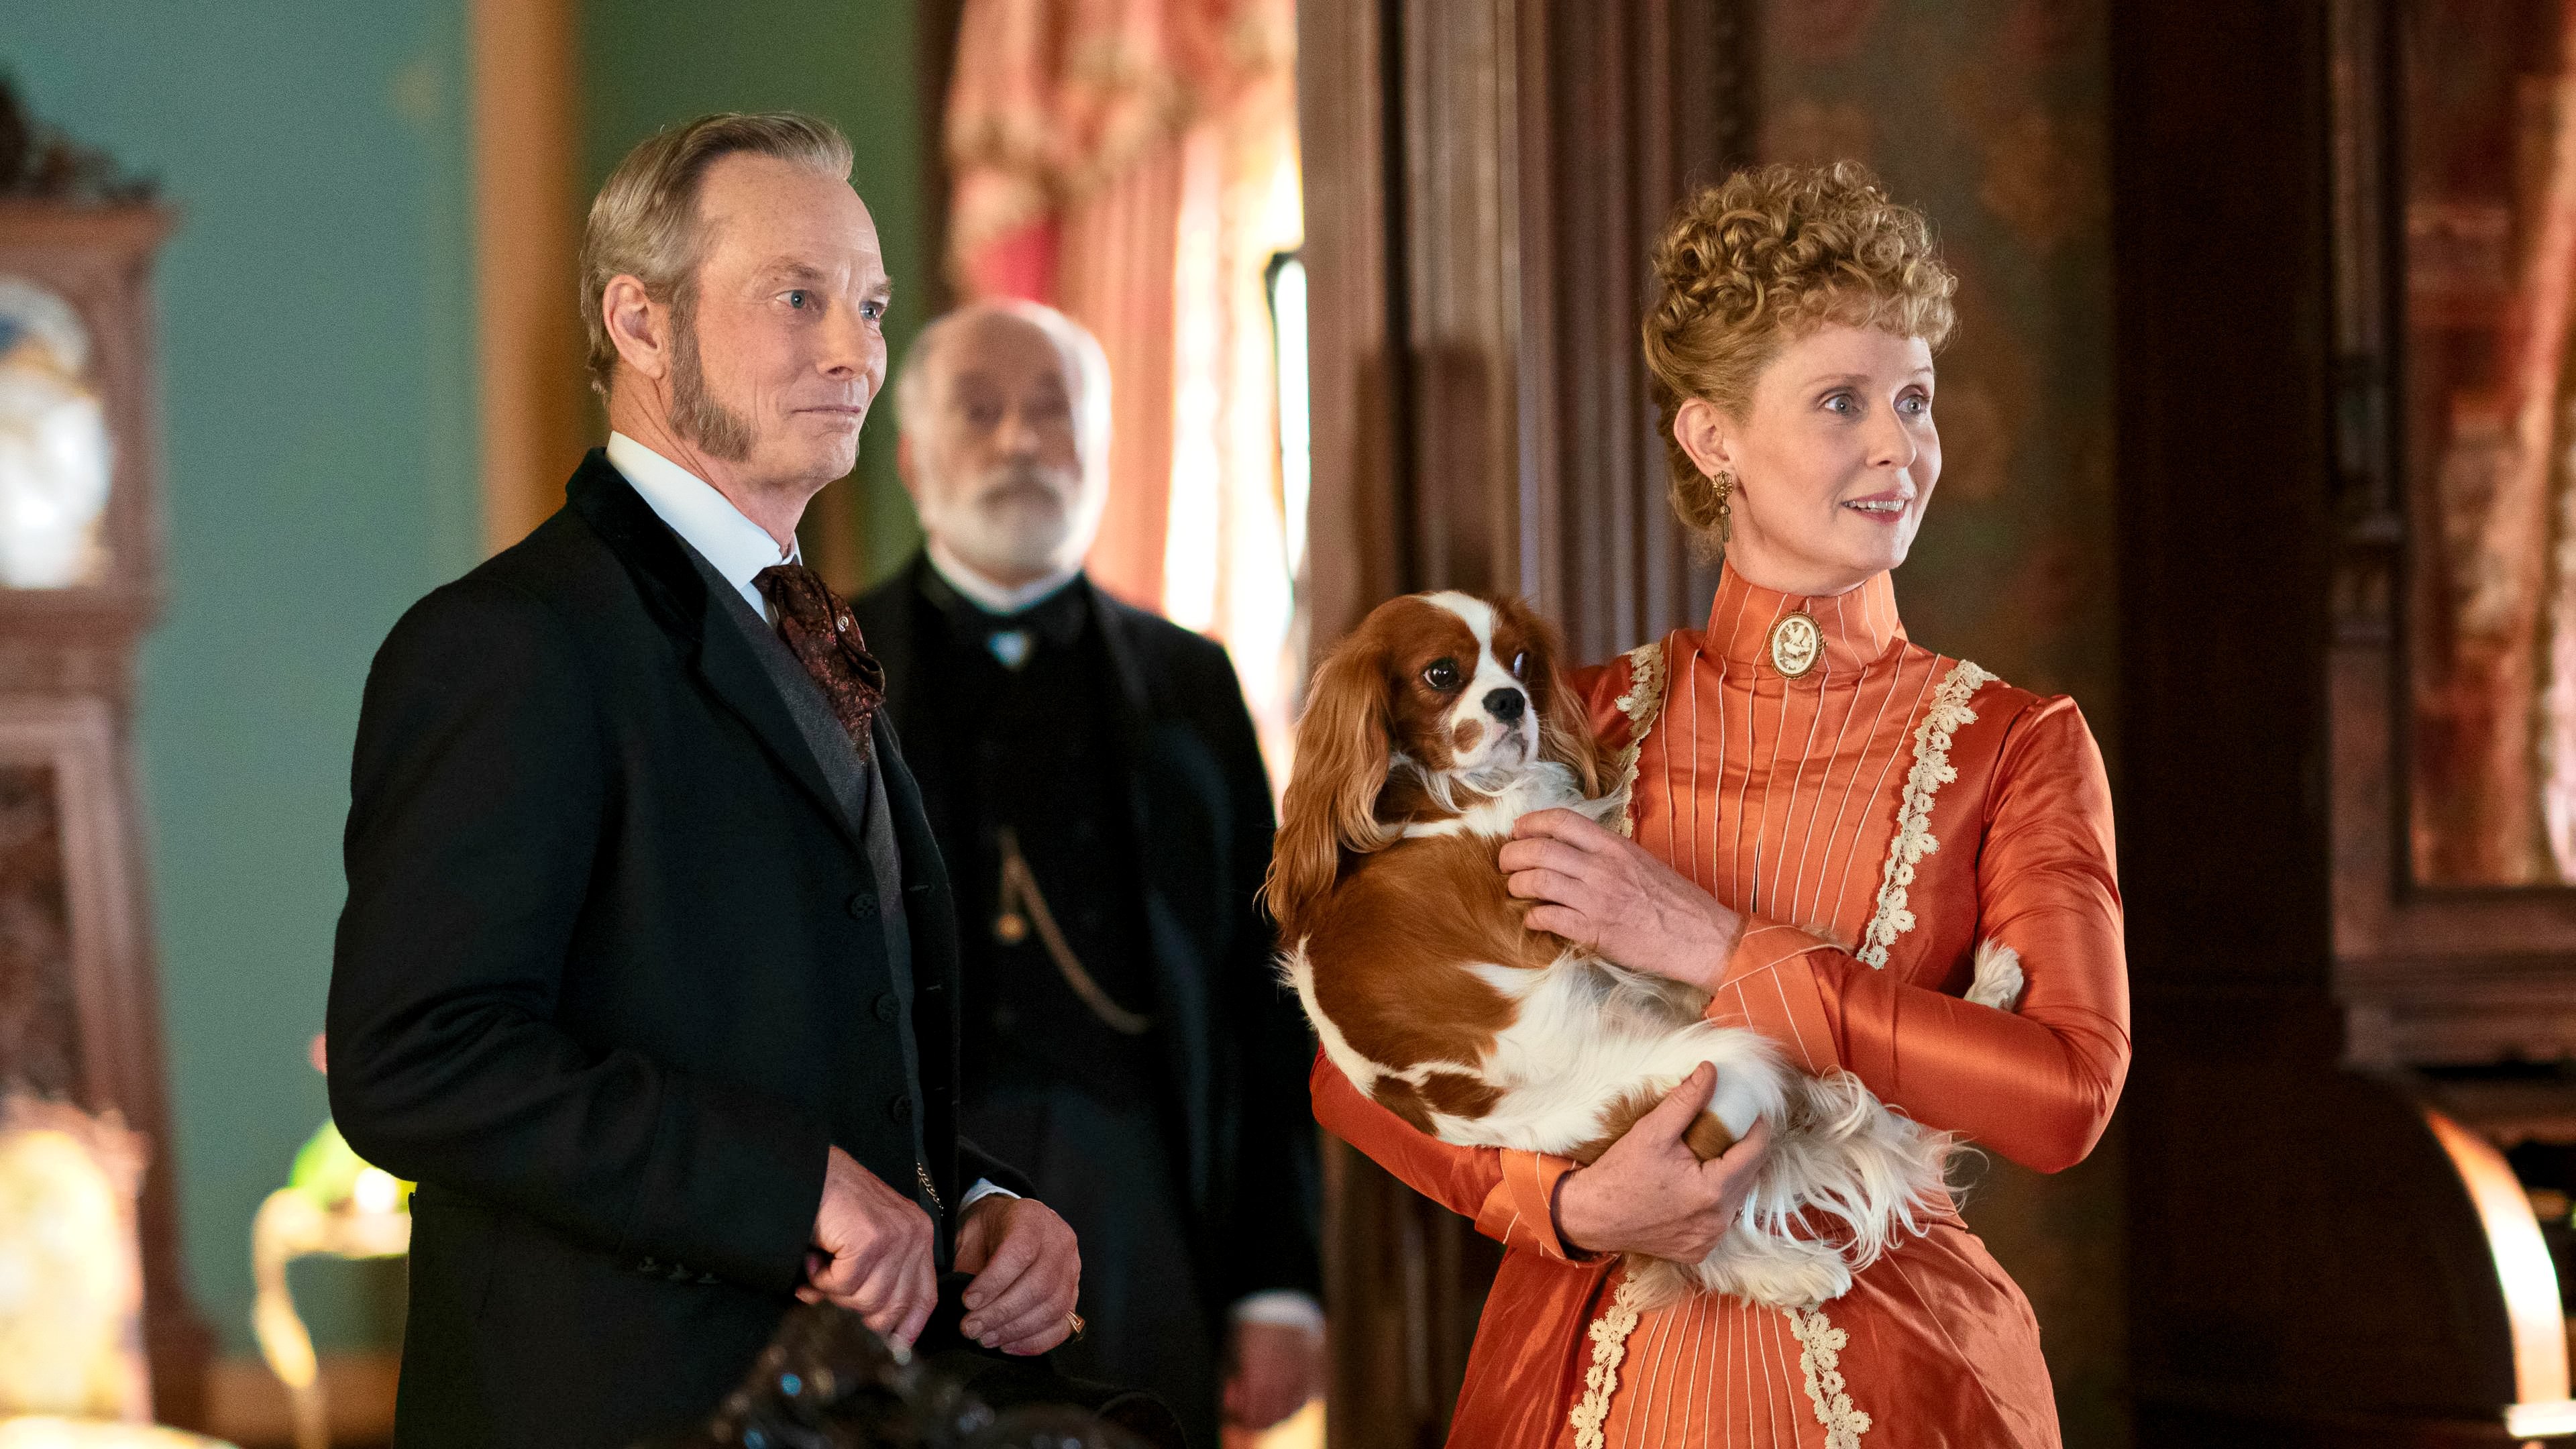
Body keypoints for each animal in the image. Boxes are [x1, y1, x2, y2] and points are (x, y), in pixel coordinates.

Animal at [1268, 590, 1983, 1309]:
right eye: (1441, 674)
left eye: (1520, 662)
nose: (1510, 701)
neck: (1435, 791)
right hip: (1729, 1071)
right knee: (1708, 1231)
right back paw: (1791, 1267)